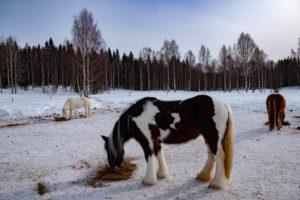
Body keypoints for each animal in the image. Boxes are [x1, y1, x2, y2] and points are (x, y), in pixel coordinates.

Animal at [102, 95, 236, 189]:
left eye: (108, 150)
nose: (112, 166)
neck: (134, 117)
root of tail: (223, 105)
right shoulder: (155, 141)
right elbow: (159, 154)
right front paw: (162, 174)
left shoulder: (146, 142)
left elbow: (149, 157)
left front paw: (148, 180)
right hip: (208, 137)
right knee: (211, 155)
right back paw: (203, 176)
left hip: (213, 137)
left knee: (219, 156)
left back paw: (216, 184)